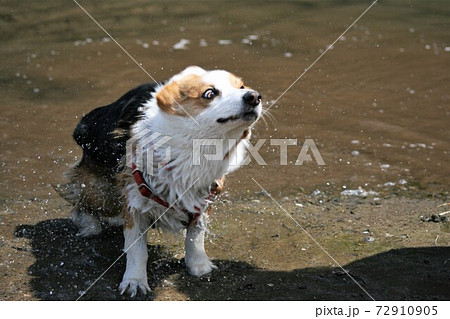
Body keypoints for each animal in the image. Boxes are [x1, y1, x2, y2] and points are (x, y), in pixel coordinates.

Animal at [57, 66, 260, 298]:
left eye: (241, 86)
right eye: (210, 93)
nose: (254, 96)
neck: (192, 149)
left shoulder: (205, 195)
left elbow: (195, 236)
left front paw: (199, 266)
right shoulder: (134, 201)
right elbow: (137, 249)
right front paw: (135, 281)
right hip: (100, 191)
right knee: (80, 199)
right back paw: (88, 224)